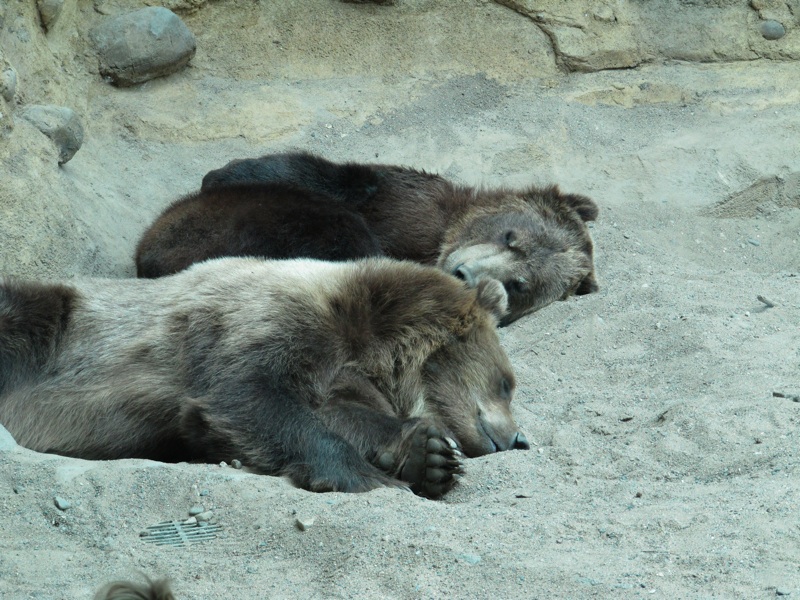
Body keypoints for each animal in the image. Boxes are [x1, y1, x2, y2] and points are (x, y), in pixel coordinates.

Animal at [1, 256, 532, 496]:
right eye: (507, 383)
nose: (517, 438)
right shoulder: (262, 324)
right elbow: (248, 396)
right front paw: (370, 477)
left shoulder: (340, 375)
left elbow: (347, 414)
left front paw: (429, 457)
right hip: (58, 323)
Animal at [136, 152, 600, 326]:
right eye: (509, 236)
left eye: (521, 284)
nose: (464, 274)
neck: (434, 243)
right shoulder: (407, 199)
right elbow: (329, 174)